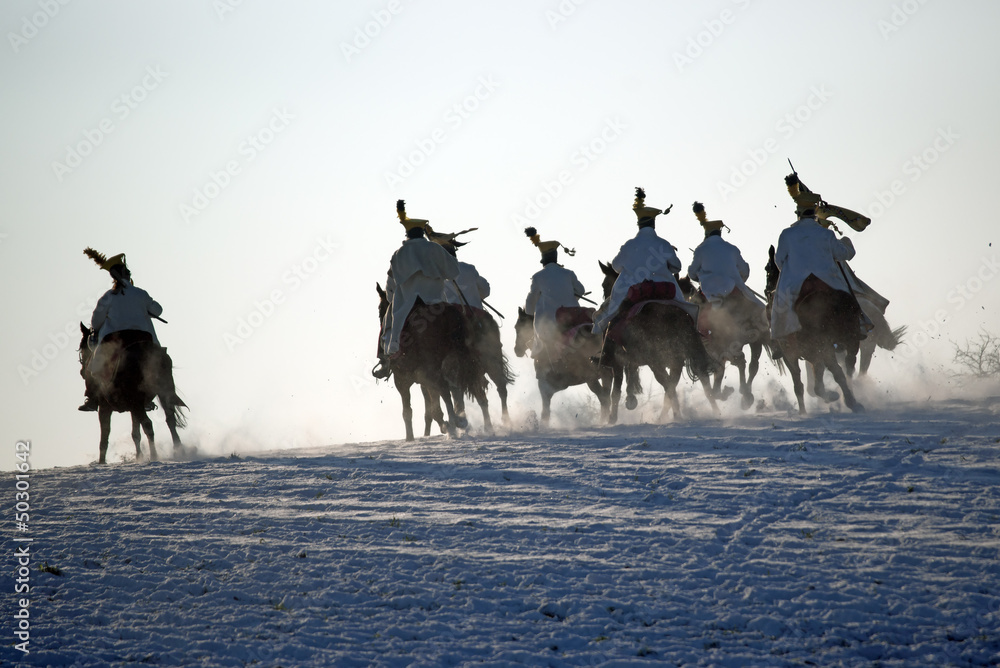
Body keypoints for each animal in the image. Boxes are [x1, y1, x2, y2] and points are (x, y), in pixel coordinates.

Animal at [78, 324, 188, 464]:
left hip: (137, 401)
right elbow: (135, 434)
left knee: (148, 424)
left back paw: (154, 455)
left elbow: (104, 436)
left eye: (82, 348)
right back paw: (179, 450)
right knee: (170, 420)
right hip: (163, 394)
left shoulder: (105, 407)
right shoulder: (132, 407)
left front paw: (101, 461)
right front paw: (139, 457)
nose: (82, 372)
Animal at [592, 262, 720, 422]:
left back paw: (676, 415)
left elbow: (616, 391)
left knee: (669, 386)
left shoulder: (617, 363)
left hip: (656, 361)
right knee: (694, 382)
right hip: (679, 357)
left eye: (604, 285)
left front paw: (612, 418)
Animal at [676, 274, 776, 410]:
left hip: (752, 340)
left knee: (750, 365)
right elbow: (711, 390)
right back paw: (745, 395)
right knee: (748, 364)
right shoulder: (706, 363)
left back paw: (746, 395)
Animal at [764, 245, 868, 412]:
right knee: (849, 366)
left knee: (838, 371)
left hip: (823, 345)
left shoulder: (791, 354)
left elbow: (800, 384)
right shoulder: (814, 353)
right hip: (849, 337)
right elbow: (816, 380)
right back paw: (851, 397)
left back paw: (850, 401)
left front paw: (804, 410)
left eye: (767, 268)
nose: (767, 291)